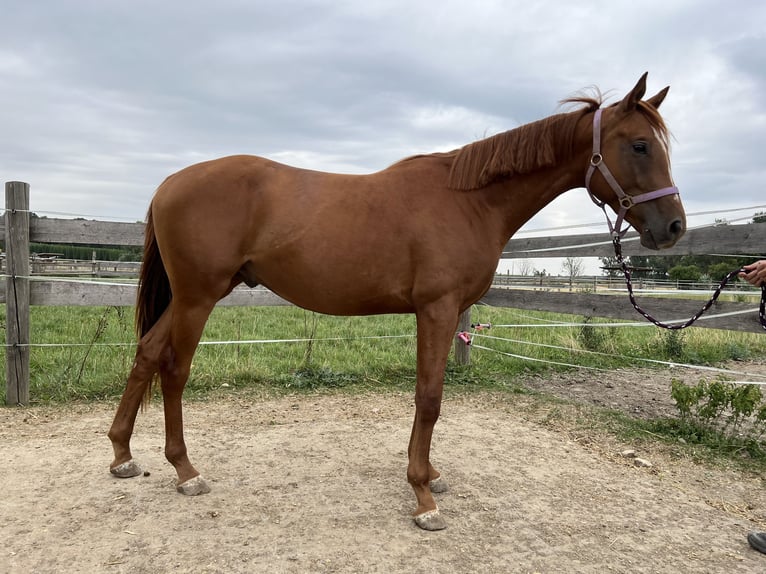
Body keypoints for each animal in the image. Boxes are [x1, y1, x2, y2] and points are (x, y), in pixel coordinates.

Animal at [109, 74, 688, 532]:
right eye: (640, 146)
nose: (674, 228)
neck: (470, 201)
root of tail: (170, 182)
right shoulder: (436, 309)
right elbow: (428, 400)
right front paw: (423, 498)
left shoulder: (447, 315)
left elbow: (433, 396)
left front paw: (430, 476)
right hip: (198, 297)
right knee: (174, 369)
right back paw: (186, 472)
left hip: (191, 296)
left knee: (146, 353)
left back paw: (122, 454)